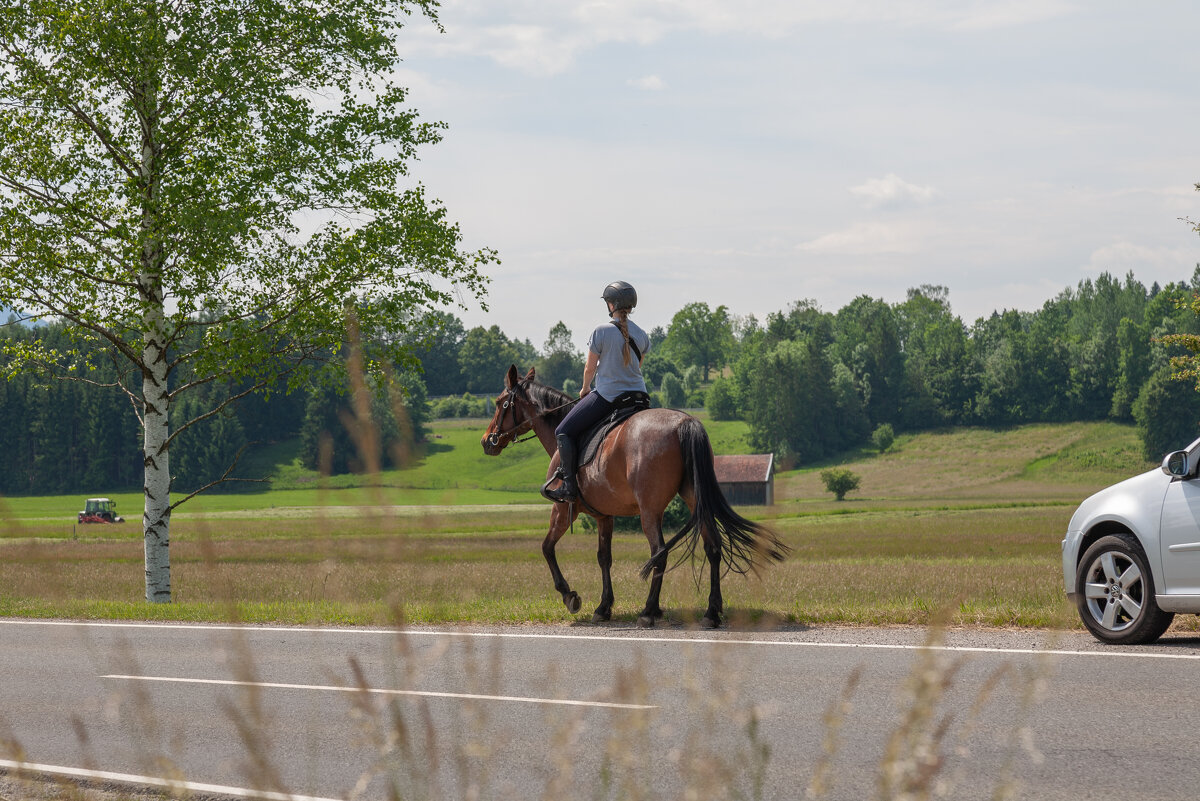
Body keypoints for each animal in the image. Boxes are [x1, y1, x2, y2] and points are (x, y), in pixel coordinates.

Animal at [477, 366, 787, 628]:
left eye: (500, 403)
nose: (486, 441)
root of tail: (685, 423)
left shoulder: (564, 510)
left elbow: (547, 548)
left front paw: (569, 596)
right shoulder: (604, 516)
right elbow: (604, 557)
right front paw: (604, 607)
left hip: (650, 512)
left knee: (660, 553)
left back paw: (649, 612)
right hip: (694, 501)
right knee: (713, 548)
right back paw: (711, 613)